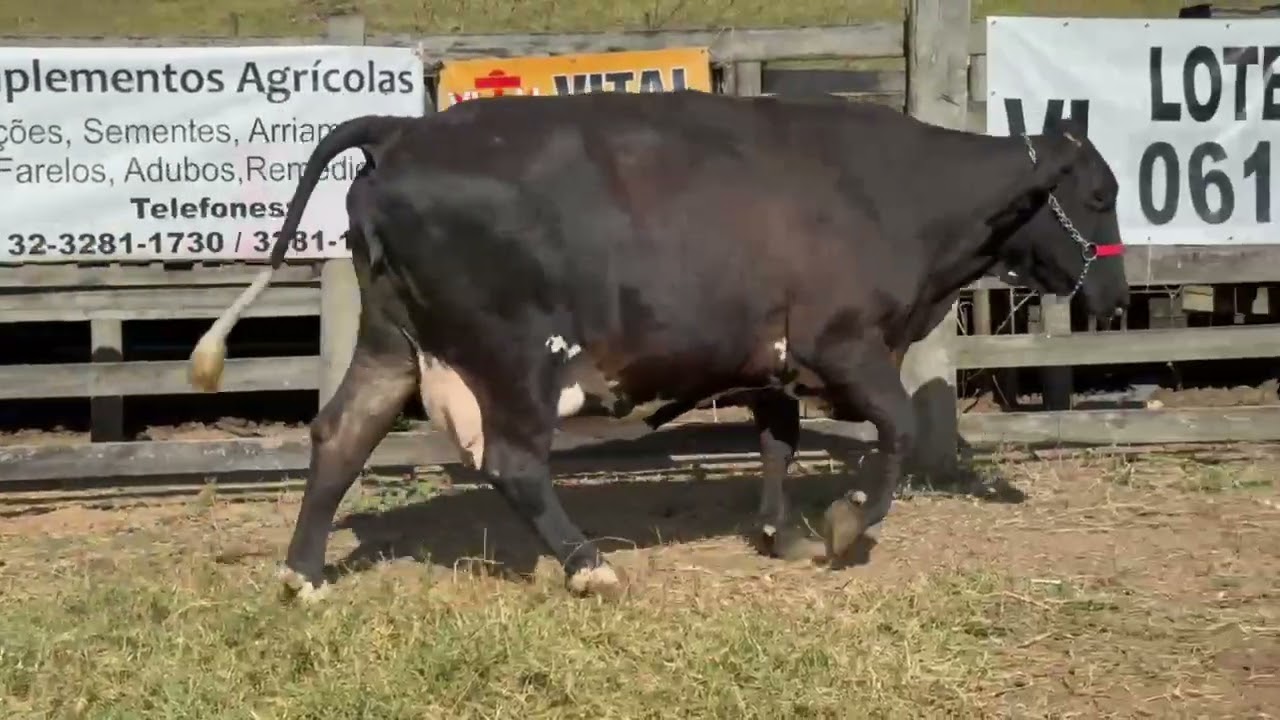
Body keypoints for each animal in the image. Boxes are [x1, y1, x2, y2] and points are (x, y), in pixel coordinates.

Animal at [187, 90, 1129, 602]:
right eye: (1098, 193)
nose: (1116, 298)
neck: (893, 193)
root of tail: (402, 132)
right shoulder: (847, 345)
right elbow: (894, 433)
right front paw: (845, 525)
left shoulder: (770, 358)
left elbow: (777, 442)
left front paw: (783, 533)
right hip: (517, 353)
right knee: (515, 464)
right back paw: (588, 566)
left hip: (393, 339)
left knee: (342, 434)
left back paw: (303, 575)